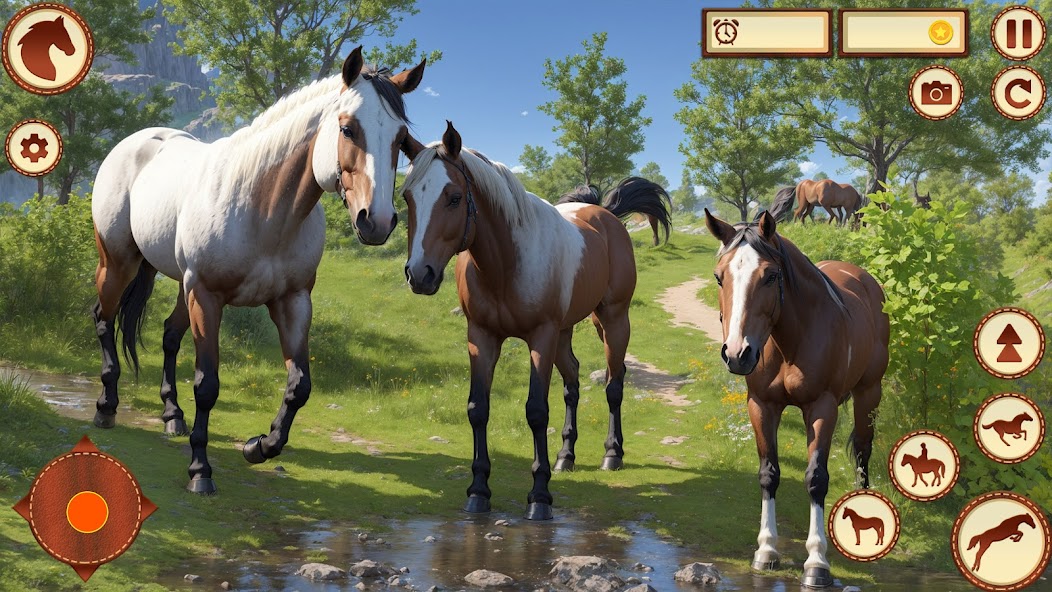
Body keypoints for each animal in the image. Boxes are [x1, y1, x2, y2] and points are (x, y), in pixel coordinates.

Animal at [90, 46, 425, 494]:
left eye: (400, 139)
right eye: (348, 129)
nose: (378, 222)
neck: (262, 208)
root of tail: (137, 142)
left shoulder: (293, 301)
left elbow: (299, 386)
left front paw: (259, 446)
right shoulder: (207, 297)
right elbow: (207, 385)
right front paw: (200, 470)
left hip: (180, 284)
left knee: (168, 335)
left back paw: (172, 416)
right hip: (120, 262)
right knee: (104, 318)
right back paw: (106, 407)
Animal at [400, 122, 671, 520]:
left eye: (453, 197)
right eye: (407, 198)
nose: (420, 274)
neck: (507, 263)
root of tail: (603, 213)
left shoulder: (540, 338)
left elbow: (536, 411)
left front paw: (540, 496)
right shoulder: (481, 337)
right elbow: (478, 408)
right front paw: (478, 490)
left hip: (611, 320)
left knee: (614, 383)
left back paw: (612, 454)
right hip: (565, 331)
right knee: (572, 381)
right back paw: (566, 456)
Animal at [703, 209, 889, 588]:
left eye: (770, 275)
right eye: (719, 277)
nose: (737, 354)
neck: (791, 339)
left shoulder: (822, 408)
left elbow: (816, 479)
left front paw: (817, 562)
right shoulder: (761, 406)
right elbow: (768, 473)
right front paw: (766, 550)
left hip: (869, 393)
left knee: (864, 450)